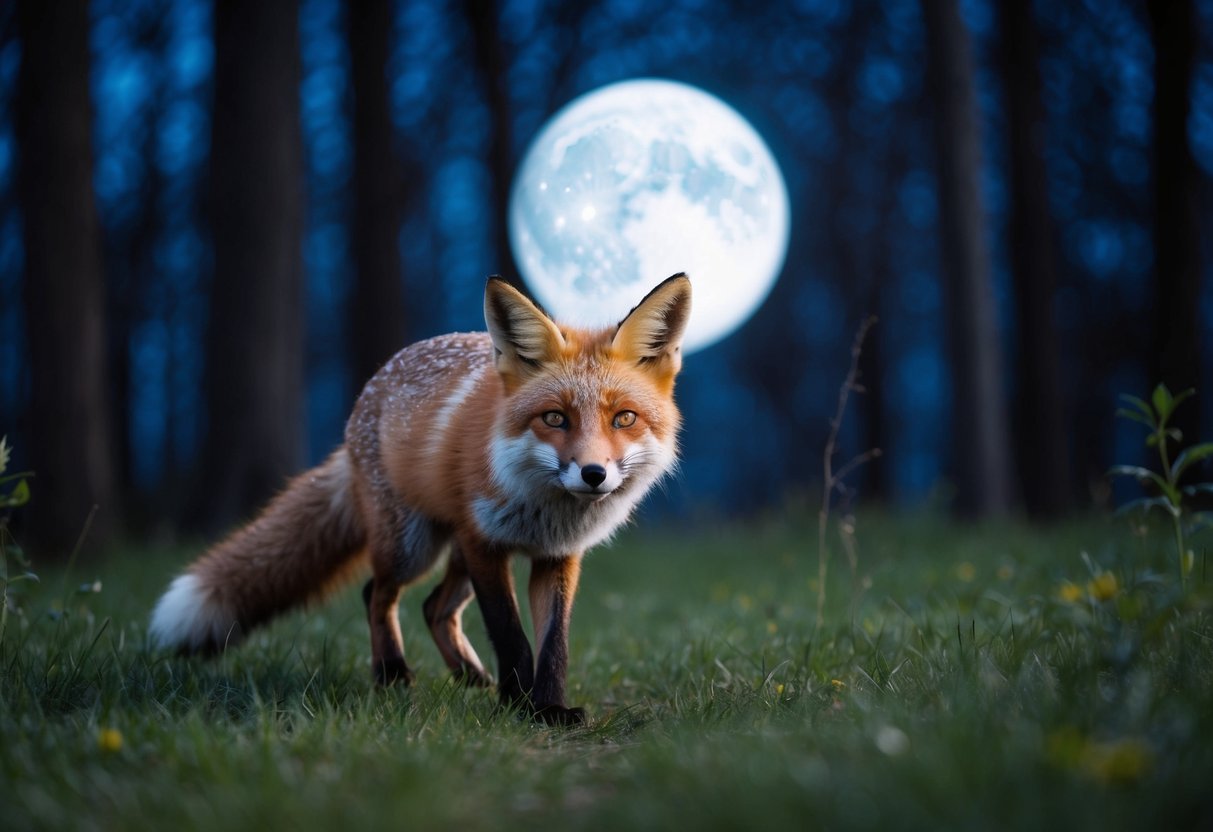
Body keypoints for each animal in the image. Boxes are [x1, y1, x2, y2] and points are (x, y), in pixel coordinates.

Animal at [150, 274, 691, 725]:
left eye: (624, 418)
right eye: (555, 418)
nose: (594, 474)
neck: (545, 509)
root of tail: (371, 389)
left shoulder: (557, 556)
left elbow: (553, 646)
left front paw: (549, 708)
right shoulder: (485, 544)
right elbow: (511, 637)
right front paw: (519, 708)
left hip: (451, 554)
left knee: (434, 607)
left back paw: (468, 676)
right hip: (412, 546)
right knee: (377, 593)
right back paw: (391, 673)